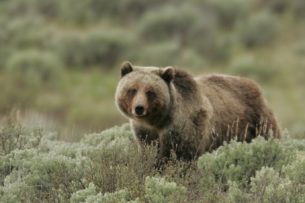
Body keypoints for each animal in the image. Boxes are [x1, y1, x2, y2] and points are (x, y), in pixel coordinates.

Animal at [114, 61, 280, 162]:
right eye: (132, 89)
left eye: (150, 92)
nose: (139, 108)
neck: (158, 121)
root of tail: (254, 84)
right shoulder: (145, 133)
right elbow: (151, 152)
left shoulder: (186, 127)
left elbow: (184, 155)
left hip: (256, 120)